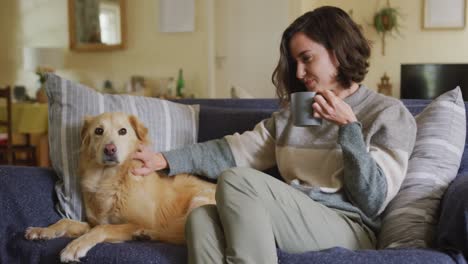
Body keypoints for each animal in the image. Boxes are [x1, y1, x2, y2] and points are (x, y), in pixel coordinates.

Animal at [24, 111, 215, 262]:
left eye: (123, 131)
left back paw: (147, 234)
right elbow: (66, 221)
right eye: (98, 131)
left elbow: (103, 228)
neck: (108, 180)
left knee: (182, 236)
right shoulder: (92, 223)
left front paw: (74, 247)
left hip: (198, 201)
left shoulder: (138, 221)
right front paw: (44, 230)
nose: (110, 149)